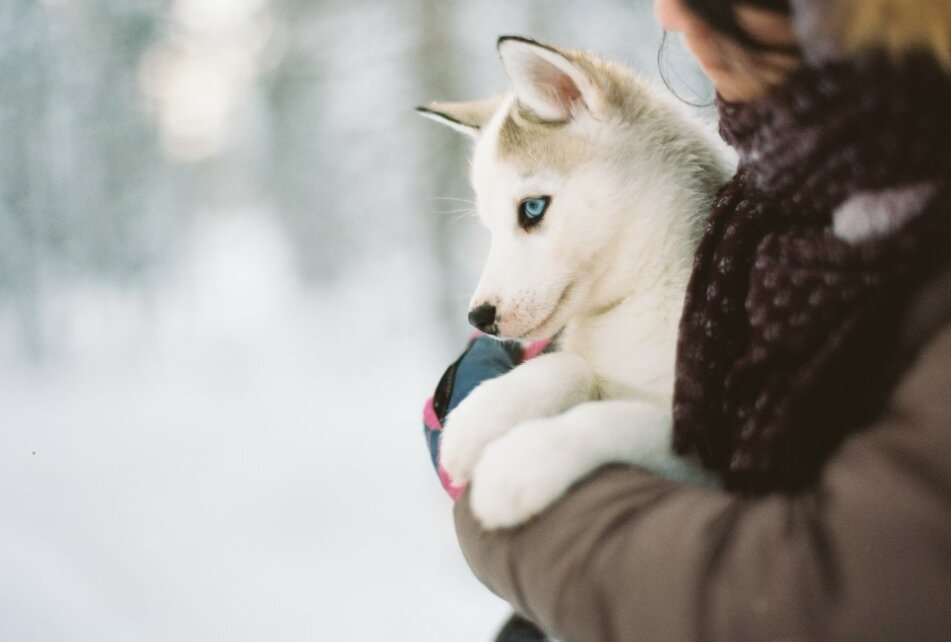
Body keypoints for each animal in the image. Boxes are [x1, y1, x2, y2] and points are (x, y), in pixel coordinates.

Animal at [420, 36, 732, 524]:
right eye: (488, 225)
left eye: (532, 208)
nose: (479, 317)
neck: (636, 300)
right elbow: (569, 365)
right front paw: (484, 414)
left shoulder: (716, 449)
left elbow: (623, 418)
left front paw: (521, 462)